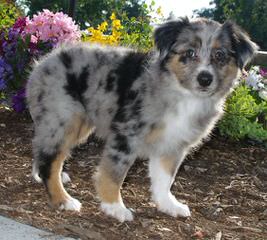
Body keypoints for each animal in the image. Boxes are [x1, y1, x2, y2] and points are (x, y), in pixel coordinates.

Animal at [26, 17, 258, 222]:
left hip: (73, 124)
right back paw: (63, 200)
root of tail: (44, 62)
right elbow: (114, 174)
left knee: (43, 150)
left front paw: (168, 205)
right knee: (50, 160)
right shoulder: (126, 136)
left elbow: (165, 179)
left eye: (220, 55)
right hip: (64, 119)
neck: (183, 95)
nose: (205, 79)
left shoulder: (173, 145)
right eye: (189, 53)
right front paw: (115, 208)